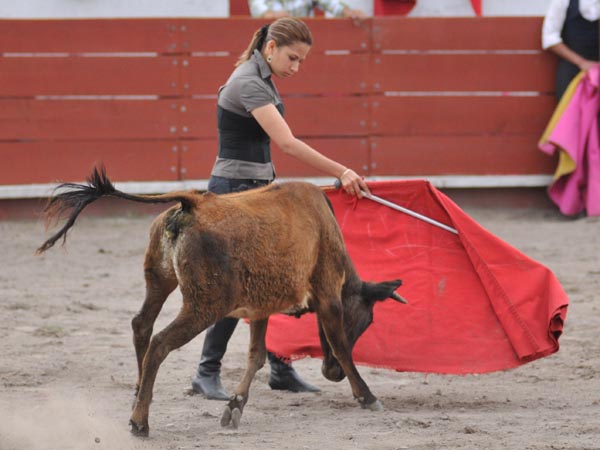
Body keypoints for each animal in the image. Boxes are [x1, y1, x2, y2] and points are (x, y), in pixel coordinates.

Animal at [36, 168, 404, 436]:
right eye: (365, 321)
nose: (332, 375)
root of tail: (191, 203)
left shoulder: (261, 307)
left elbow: (256, 356)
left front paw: (235, 407)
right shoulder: (328, 295)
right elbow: (340, 345)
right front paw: (367, 397)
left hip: (160, 282)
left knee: (142, 325)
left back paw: (137, 397)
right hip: (203, 305)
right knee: (159, 342)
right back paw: (140, 421)